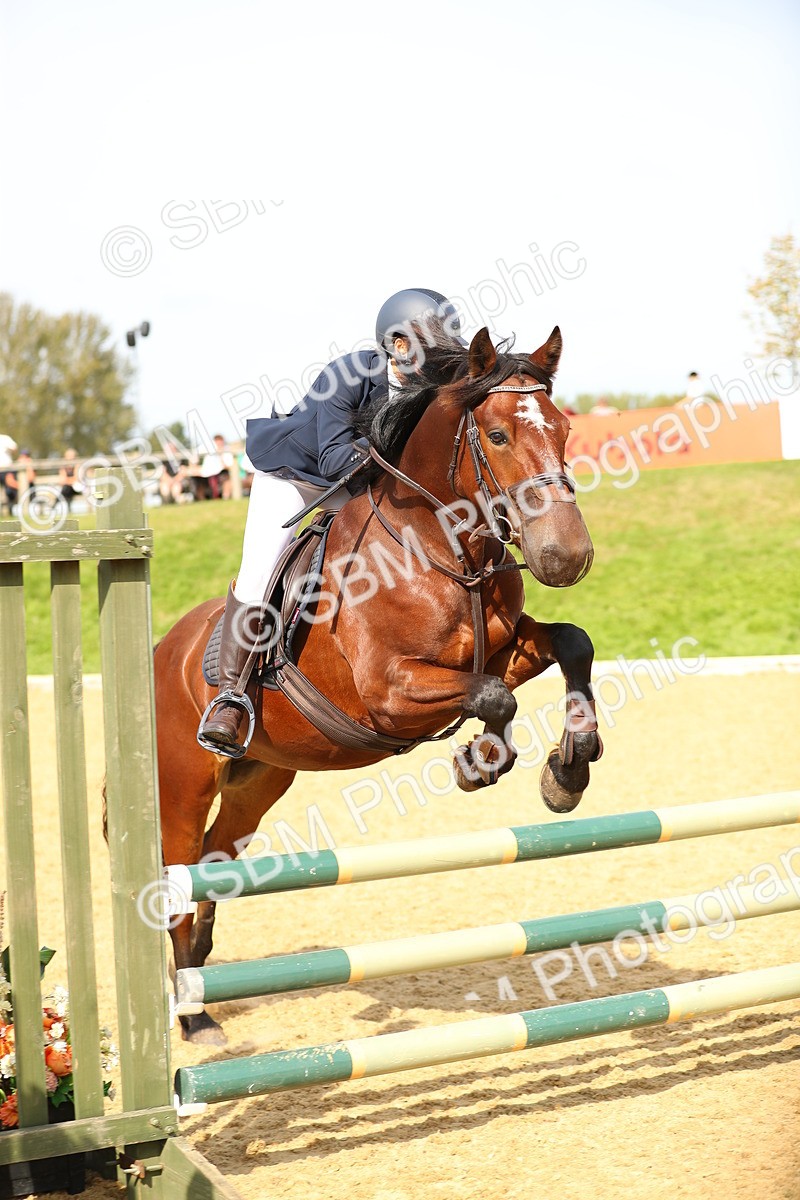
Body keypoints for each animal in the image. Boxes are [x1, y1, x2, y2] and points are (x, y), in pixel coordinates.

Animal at [154, 324, 602, 1042]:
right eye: (498, 435)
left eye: (563, 428)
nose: (568, 556)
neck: (440, 545)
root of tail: (162, 650)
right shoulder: (390, 695)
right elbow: (495, 697)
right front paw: (481, 763)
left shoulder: (505, 649)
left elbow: (572, 645)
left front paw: (568, 770)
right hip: (183, 788)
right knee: (177, 884)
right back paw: (194, 1020)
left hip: (260, 781)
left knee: (214, 870)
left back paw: (200, 989)